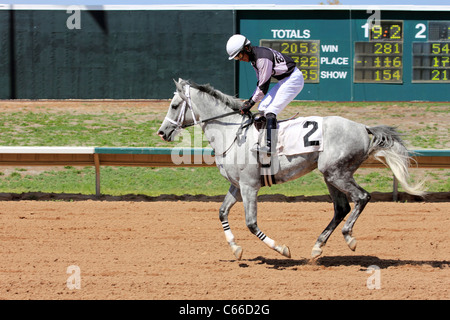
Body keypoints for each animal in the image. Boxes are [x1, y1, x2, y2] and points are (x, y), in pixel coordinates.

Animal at [158, 79, 426, 262]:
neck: (232, 133)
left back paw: (349, 237)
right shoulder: (236, 186)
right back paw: (317, 247)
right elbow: (222, 213)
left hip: (337, 173)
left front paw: (282, 249)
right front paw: (236, 249)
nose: (162, 132)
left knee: (362, 197)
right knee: (341, 208)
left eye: (174, 105)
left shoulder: (249, 187)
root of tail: (362, 127)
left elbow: (251, 223)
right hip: (330, 175)